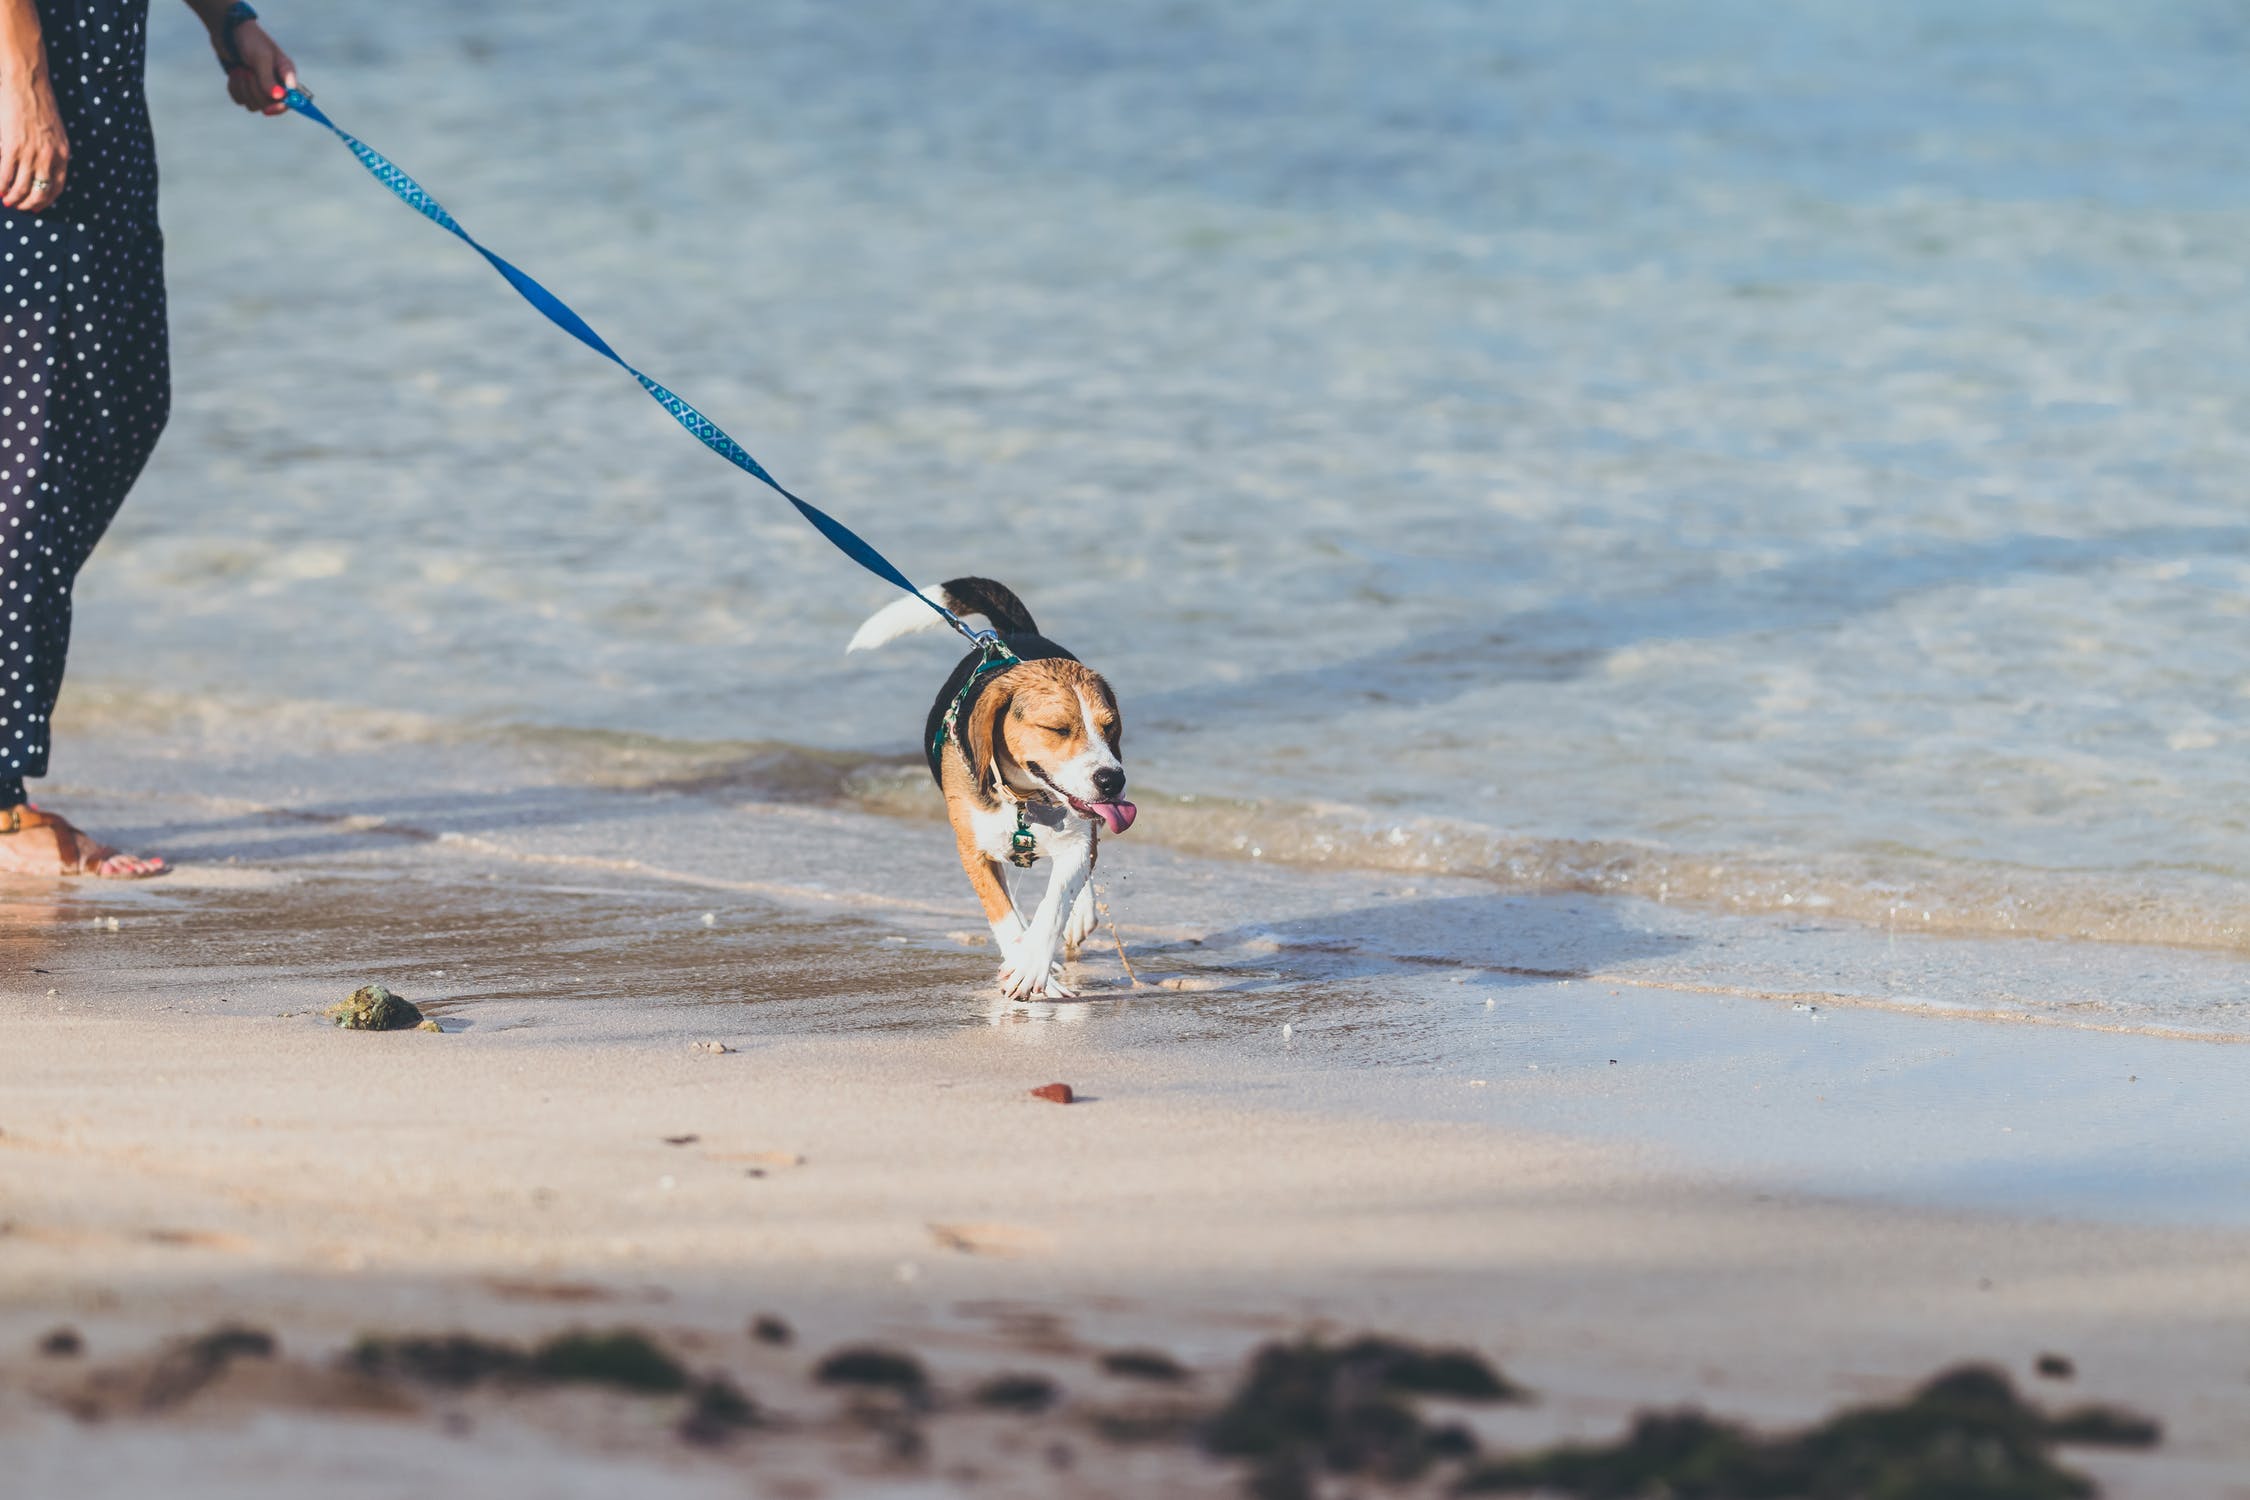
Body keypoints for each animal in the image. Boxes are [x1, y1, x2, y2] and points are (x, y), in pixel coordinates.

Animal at [846, 580, 1134, 1002]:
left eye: (1110, 726)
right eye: (1058, 729)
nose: (1113, 780)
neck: (1025, 800)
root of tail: (1012, 635)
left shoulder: (1076, 843)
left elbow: (1056, 901)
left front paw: (1033, 965)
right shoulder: (973, 851)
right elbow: (1003, 913)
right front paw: (1029, 964)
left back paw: (1080, 914)